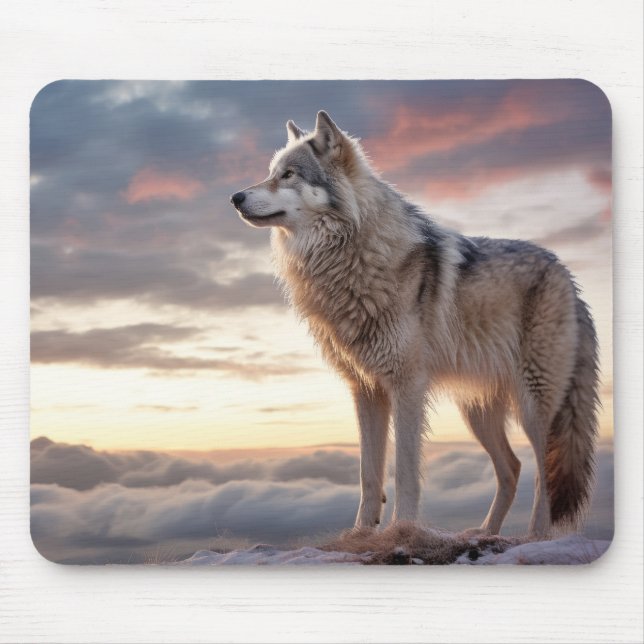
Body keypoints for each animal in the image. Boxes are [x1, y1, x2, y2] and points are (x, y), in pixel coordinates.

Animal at [230, 111, 599, 538]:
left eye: (288, 175)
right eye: (270, 173)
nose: (235, 197)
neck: (351, 256)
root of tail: (568, 277)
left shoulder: (407, 386)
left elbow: (405, 471)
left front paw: (401, 529)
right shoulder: (366, 390)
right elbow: (368, 473)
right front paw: (360, 533)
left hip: (535, 406)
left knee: (543, 472)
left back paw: (535, 537)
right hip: (477, 413)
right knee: (513, 467)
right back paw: (483, 533)